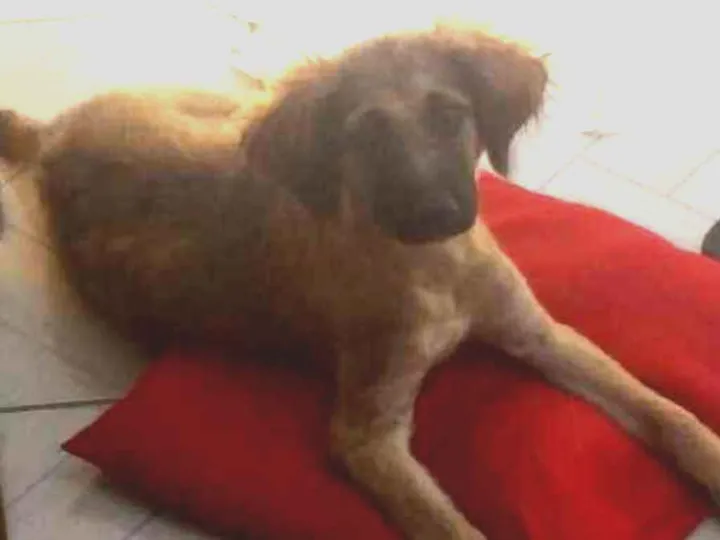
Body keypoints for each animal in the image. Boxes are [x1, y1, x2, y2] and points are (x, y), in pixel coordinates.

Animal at [2, 24, 720, 540]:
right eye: (368, 135)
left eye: (450, 116)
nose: (436, 214)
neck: (434, 268)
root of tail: (50, 138)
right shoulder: (366, 434)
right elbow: (449, 528)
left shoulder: (539, 333)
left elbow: (669, 413)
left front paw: (710, 463)